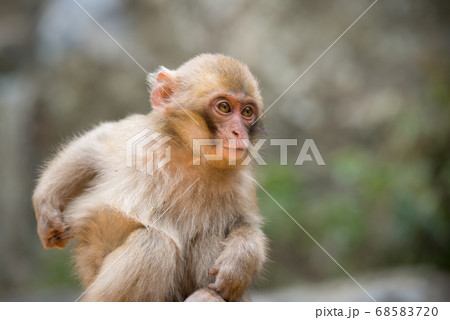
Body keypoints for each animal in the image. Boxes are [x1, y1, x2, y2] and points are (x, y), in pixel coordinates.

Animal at [34, 53, 270, 302]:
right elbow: (97, 142)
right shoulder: (139, 138)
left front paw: (242, 259)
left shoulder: (242, 183)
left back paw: (207, 295)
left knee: (210, 234)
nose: (238, 133)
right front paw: (46, 206)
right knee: (154, 244)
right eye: (224, 106)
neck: (193, 155)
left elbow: (247, 226)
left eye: (247, 112)